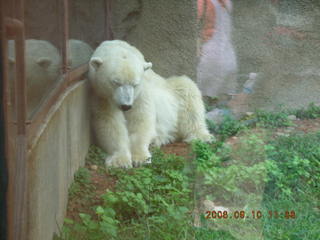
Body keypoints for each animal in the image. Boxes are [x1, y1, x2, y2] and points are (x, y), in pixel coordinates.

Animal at [89, 40, 212, 168]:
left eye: (135, 84)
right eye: (116, 82)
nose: (126, 106)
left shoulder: (141, 93)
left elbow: (140, 119)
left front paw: (140, 158)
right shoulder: (100, 95)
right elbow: (109, 122)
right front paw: (120, 161)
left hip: (172, 91)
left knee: (187, 91)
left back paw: (201, 136)